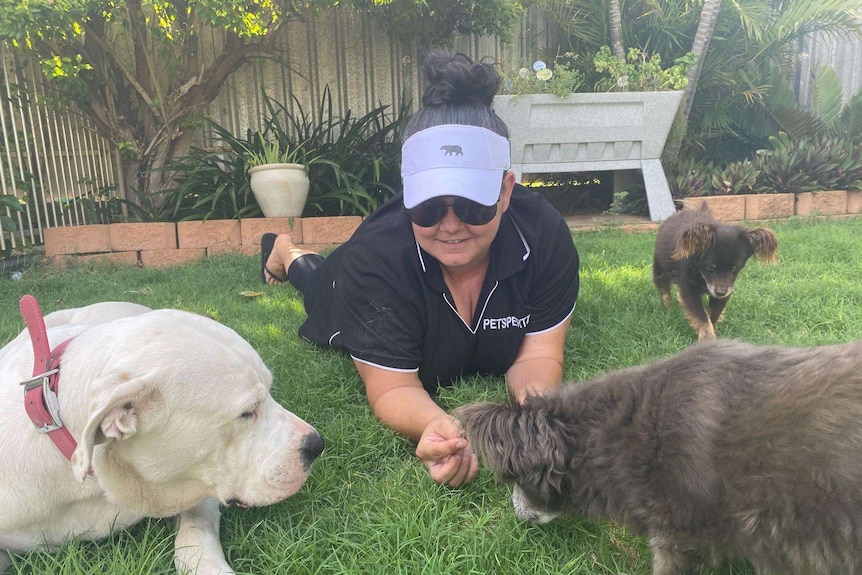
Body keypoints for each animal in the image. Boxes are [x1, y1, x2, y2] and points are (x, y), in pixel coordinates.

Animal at [652, 206, 780, 342]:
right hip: (660, 269)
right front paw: (707, 338)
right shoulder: (688, 289)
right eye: (710, 269)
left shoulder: (725, 291)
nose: (720, 292)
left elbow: (713, 315)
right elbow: (702, 317)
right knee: (664, 290)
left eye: (735, 269)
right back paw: (667, 309)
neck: (701, 275)